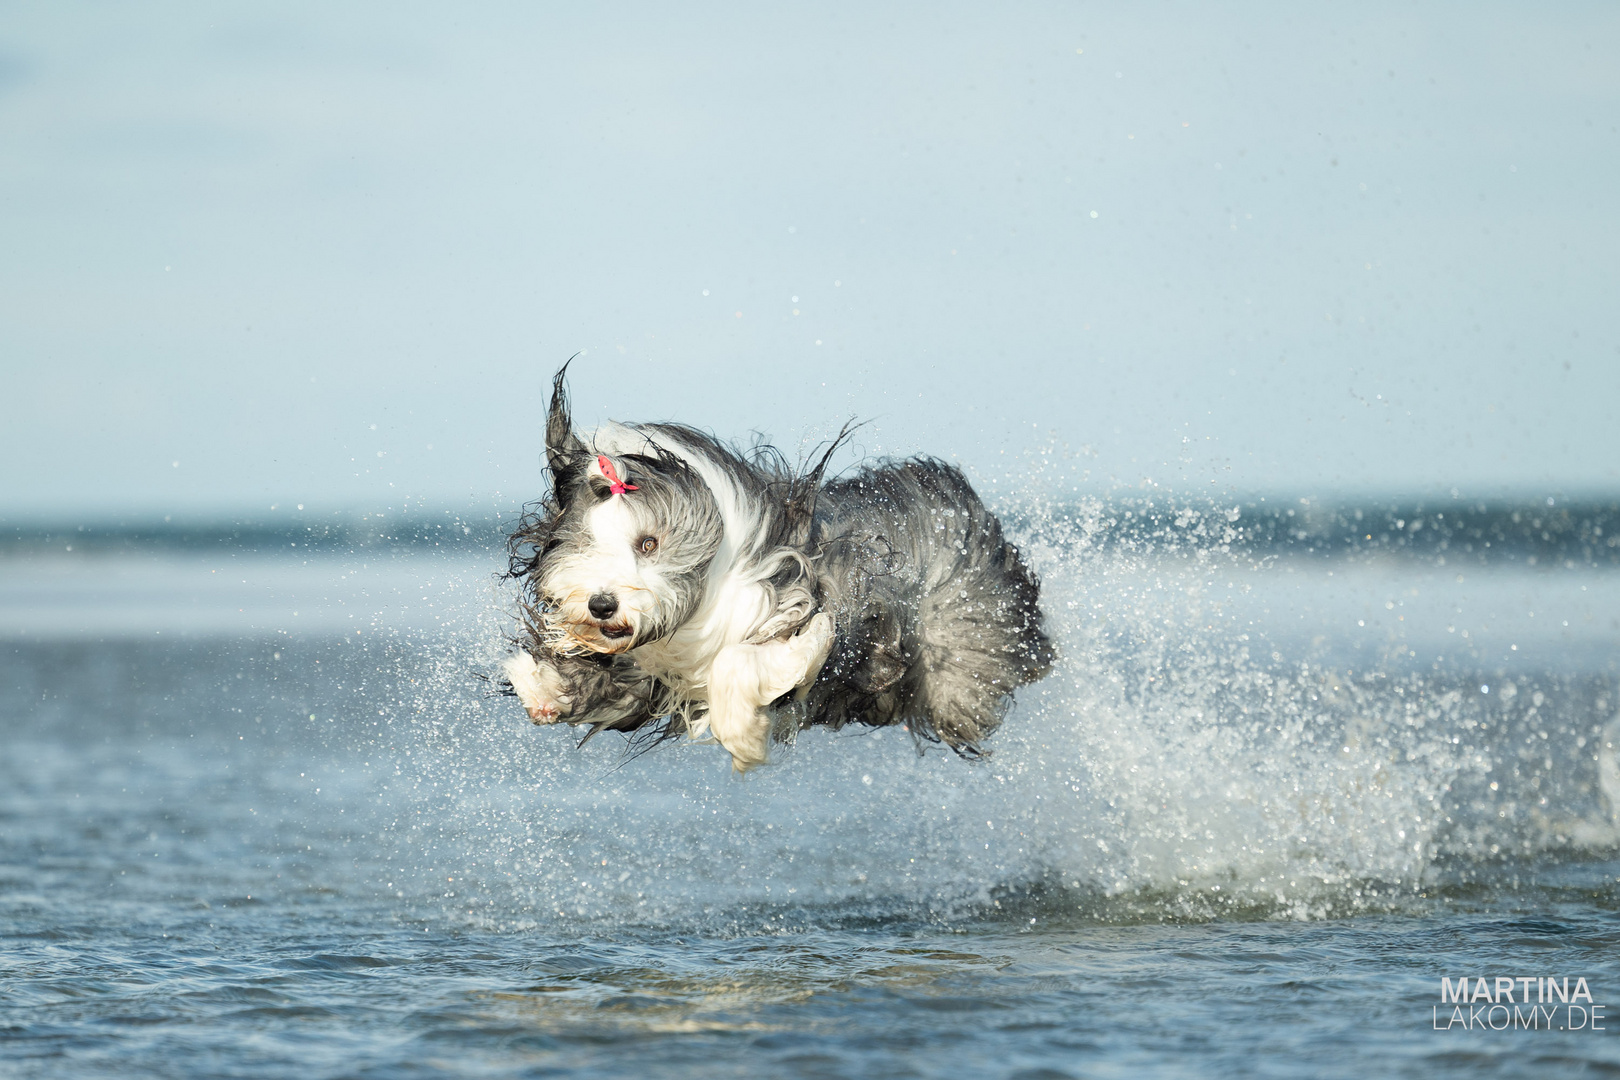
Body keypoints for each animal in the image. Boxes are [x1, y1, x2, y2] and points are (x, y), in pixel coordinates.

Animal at [505, 367, 1062, 773]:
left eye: (648, 543)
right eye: (584, 542)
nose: (602, 604)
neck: (710, 591)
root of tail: (972, 512)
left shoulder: (811, 615)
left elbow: (744, 663)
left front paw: (744, 739)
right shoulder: (650, 672)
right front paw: (541, 686)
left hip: (961, 655)